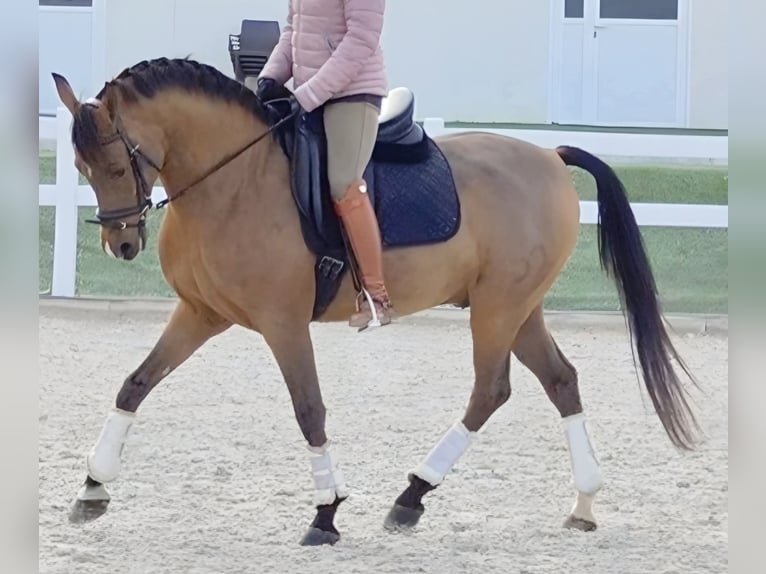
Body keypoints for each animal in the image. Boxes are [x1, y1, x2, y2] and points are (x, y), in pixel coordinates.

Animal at [52, 57, 699, 546]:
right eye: (81, 165)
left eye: (116, 164)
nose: (121, 244)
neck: (233, 180)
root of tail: (549, 156)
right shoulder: (201, 313)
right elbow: (135, 384)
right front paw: (93, 487)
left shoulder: (283, 322)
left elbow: (309, 410)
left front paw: (326, 512)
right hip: (517, 308)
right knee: (561, 380)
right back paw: (581, 502)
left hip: (499, 309)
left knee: (491, 391)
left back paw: (412, 494)